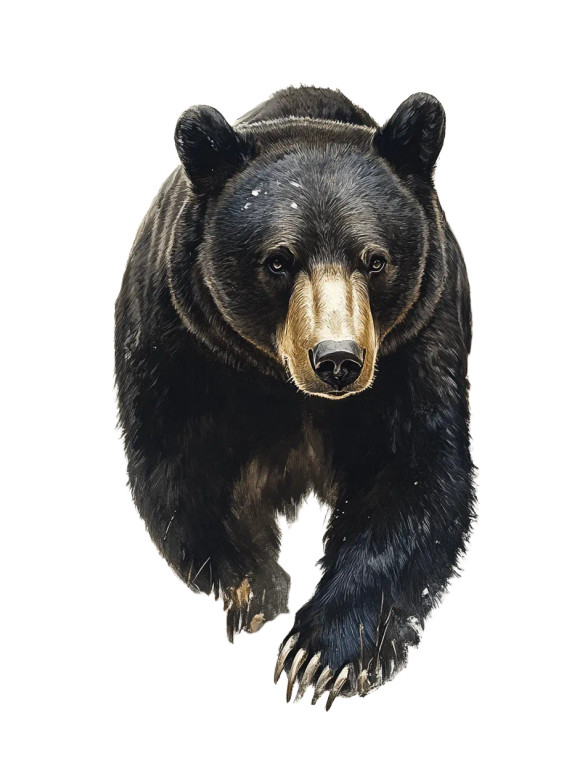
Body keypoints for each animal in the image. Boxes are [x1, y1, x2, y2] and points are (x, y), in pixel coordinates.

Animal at [114, 85, 475, 709]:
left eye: (375, 259)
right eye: (278, 260)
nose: (337, 359)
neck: (286, 387)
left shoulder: (417, 346)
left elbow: (416, 479)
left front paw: (322, 653)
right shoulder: (182, 348)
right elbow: (182, 470)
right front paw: (255, 589)